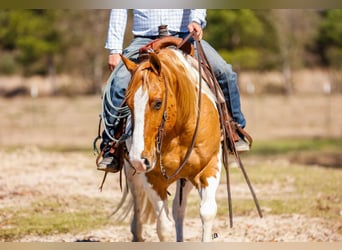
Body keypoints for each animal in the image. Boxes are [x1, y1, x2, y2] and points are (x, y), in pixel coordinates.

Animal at [121, 41, 223, 242]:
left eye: (158, 103)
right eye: (128, 104)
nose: (139, 158)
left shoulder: (210, 166)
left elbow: (207, 212)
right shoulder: (151, 178)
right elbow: (164, 227)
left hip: (186, 178)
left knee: (178, 209)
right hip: (132, 171)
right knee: (137, 198)